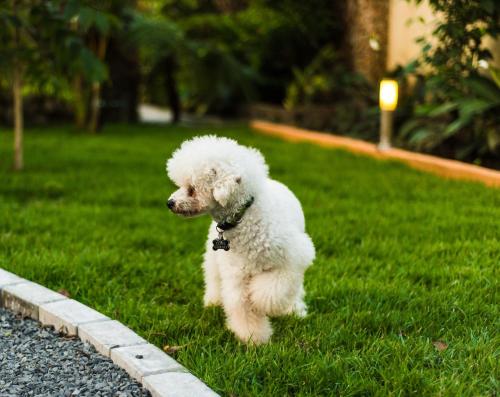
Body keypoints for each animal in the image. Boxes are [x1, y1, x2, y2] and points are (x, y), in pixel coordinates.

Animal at [168, 136, 316, 344]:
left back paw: (293, 310)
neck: (244, 217)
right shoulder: (237, 274)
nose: (169, 203)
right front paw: (254, 339)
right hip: (214, 260)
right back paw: (213, 302)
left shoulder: (291, 261)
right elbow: (241, 304)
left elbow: (272, 291)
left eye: (192, 189)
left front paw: (263, 303)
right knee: (214, 279)